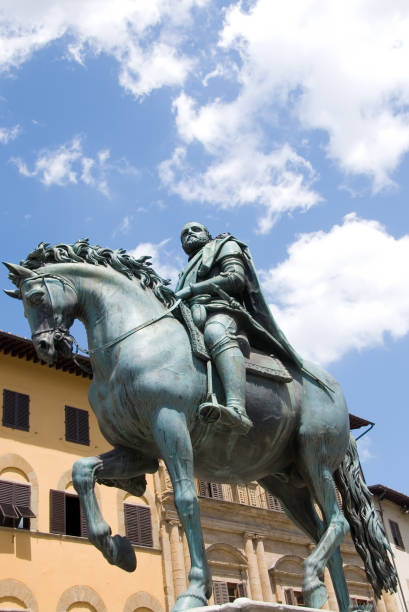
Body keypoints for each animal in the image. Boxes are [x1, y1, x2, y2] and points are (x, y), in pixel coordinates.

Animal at [3, 240, 396, 612]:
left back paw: (312, 579)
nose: (47, 346)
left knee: (338, 522)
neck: (138, 339)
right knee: (323, 531)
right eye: (21, 305)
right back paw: (329, 598)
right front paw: (118, 549)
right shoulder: (138, 451)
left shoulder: (170, 424)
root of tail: (338, 395)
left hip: (314, 459)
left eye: (36, 297)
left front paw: (193, 590)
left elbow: (187, 500)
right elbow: (82, 470)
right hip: (285, 483)